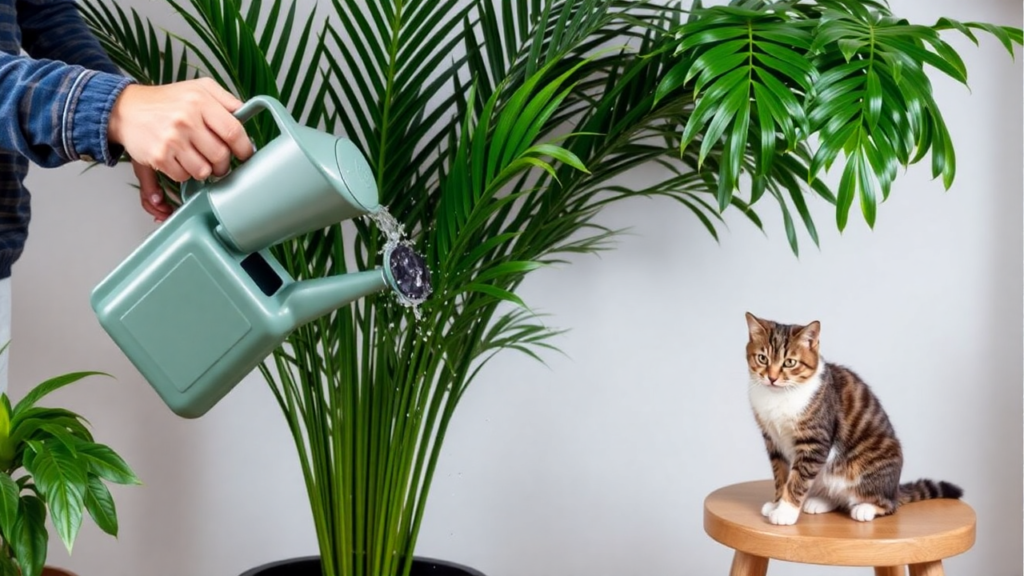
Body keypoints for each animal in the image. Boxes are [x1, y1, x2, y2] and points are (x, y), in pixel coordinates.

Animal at [745, 311, 958, 522]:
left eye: (790, 362)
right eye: (762, 358)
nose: (772, 378)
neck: (779, 397)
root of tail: (894, 490)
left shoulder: (815, 441)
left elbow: (798, 478)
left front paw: (785, 512)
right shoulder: (772, 440)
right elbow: (781, 474)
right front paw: (776, 503)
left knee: (888, 505)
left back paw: (865, 508)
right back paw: (820, 502)